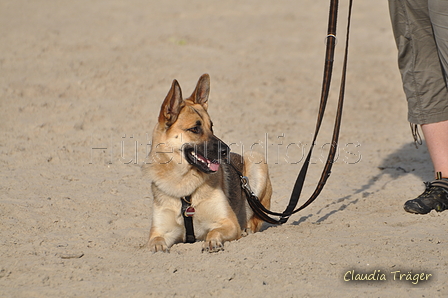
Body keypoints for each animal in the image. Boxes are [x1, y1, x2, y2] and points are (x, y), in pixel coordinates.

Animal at [145, 74, 272, 251]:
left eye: (211, 127)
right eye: (195, 129)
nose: (226, 150)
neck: (184, 185)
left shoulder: (229, 223)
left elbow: (214, 231)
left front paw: (212, 241)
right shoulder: (161, 231)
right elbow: (155, 241)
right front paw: (157, 248)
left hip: (256, 160)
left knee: (255, 221)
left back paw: (247, 229)